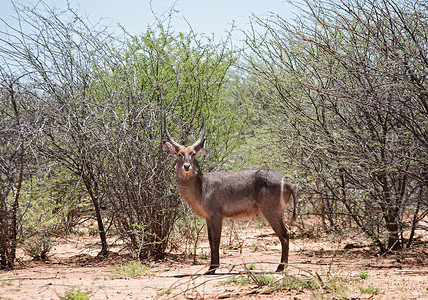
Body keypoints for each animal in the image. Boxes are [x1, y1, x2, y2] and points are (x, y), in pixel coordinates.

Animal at [162, 115, 296, 274]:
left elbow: (216, 240)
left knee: (285, 234)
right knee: (285, 234)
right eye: (179, 154)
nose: (187, 166)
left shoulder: (217, 216)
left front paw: (212, 268)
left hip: (271, 212)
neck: (202, 187)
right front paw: (211, 267)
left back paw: (280, 267)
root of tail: (286, 181)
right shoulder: (208, 217)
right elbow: (210, 240)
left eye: (193, 153)